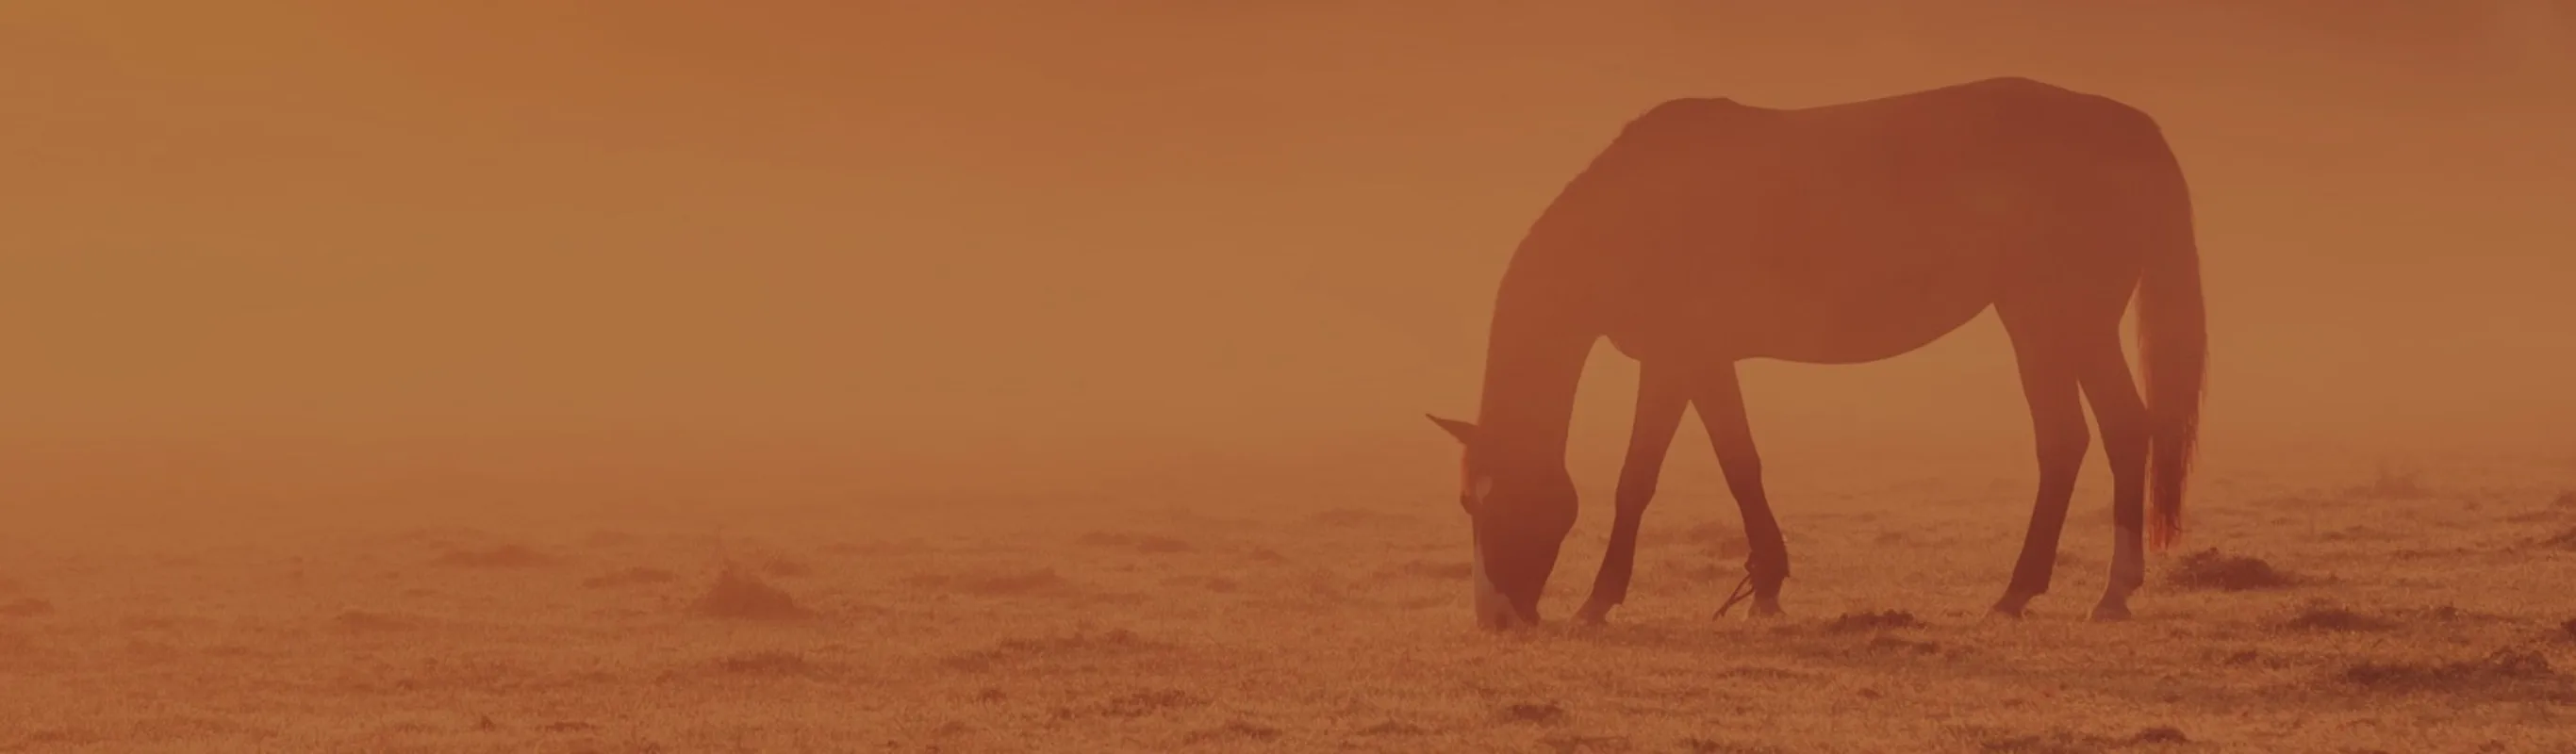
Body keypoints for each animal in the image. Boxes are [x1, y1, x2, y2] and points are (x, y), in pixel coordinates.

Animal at [1427, 77, 2207, 630]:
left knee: (2091, 436)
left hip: (2057, 322)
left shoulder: (1676, 360)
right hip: (2056, 326)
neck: (1637, 212)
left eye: (1487, 502)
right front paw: (1765, 586)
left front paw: (1600, 600)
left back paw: (2066, 592)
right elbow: (1739, 463)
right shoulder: (1702, 362)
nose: (1495, 618)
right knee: (2099, 435)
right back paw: (2068, 591)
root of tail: (2128, 127)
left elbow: (1640, 478)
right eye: (1465, 501)